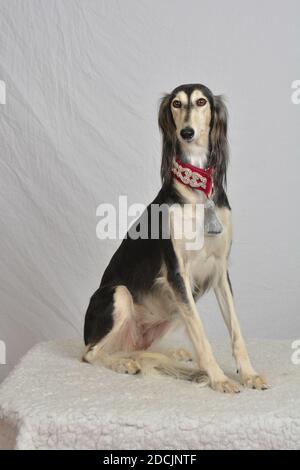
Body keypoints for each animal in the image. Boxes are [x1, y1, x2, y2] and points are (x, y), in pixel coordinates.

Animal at [83, 82, 268, 392]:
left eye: (202, 102)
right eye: (176, 104)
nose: (187, 133)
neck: (197, 194)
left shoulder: (219, 269)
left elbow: (236, 330)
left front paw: (249, 373)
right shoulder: (176, 272)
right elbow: (201, 334)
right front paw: (218, 378)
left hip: (168, 309)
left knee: (135, 348)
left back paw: (170, 354)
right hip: (120, 295)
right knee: (91, 354)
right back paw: (124, 363)